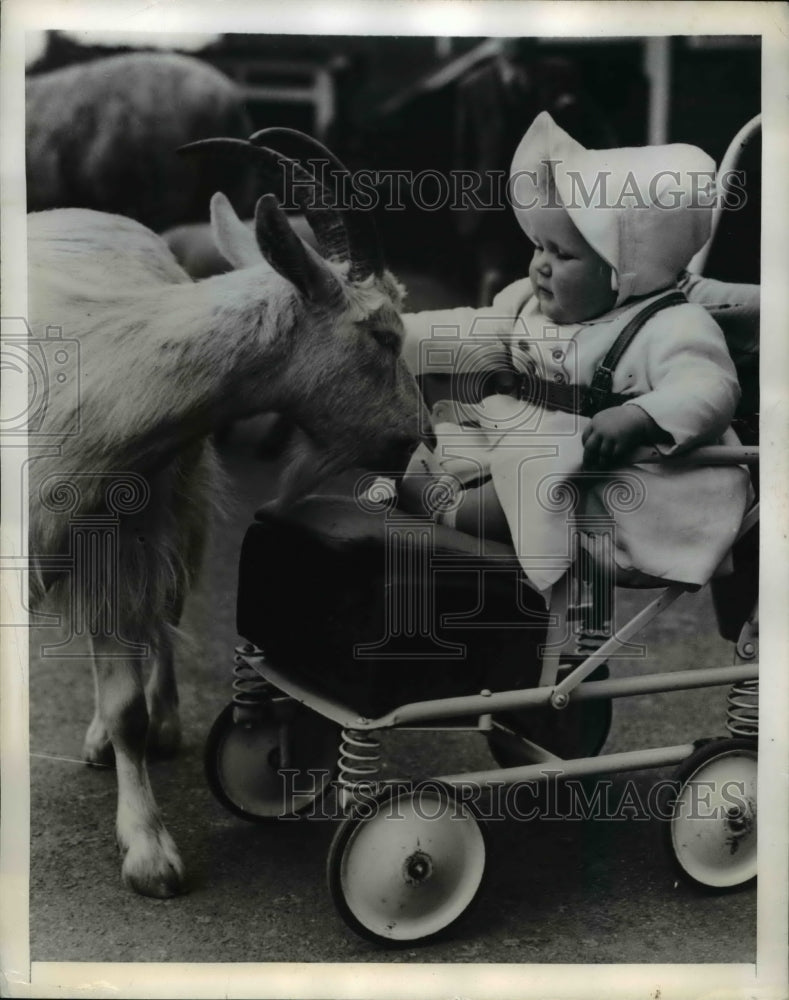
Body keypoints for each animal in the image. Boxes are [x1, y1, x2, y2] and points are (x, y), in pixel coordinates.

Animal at [27, 133, 430, 900]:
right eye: (383, 334)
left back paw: (153, 726)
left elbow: (127, 699)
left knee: (160, 615)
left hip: (172, 509)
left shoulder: (116, 534)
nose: (417, 437)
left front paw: (149, 853)